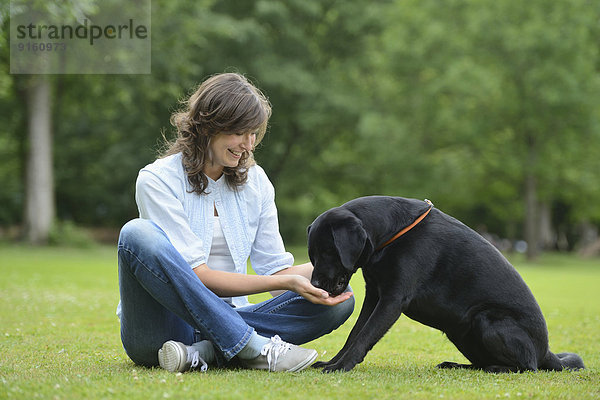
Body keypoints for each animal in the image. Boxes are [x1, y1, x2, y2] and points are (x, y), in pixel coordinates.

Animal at [310, 196, 584, 372]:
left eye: (327, 251)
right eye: (312, 255)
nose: (314, 283)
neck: (390, 235)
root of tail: (546, 352)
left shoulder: (392, 300)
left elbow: (364, 336)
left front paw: (341, 366)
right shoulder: (374, 295)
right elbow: (354, 334)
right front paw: (333, 361)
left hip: (486, 319)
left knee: (527, 366)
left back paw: (494, 368)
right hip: (459, 330)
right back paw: (455, 365)